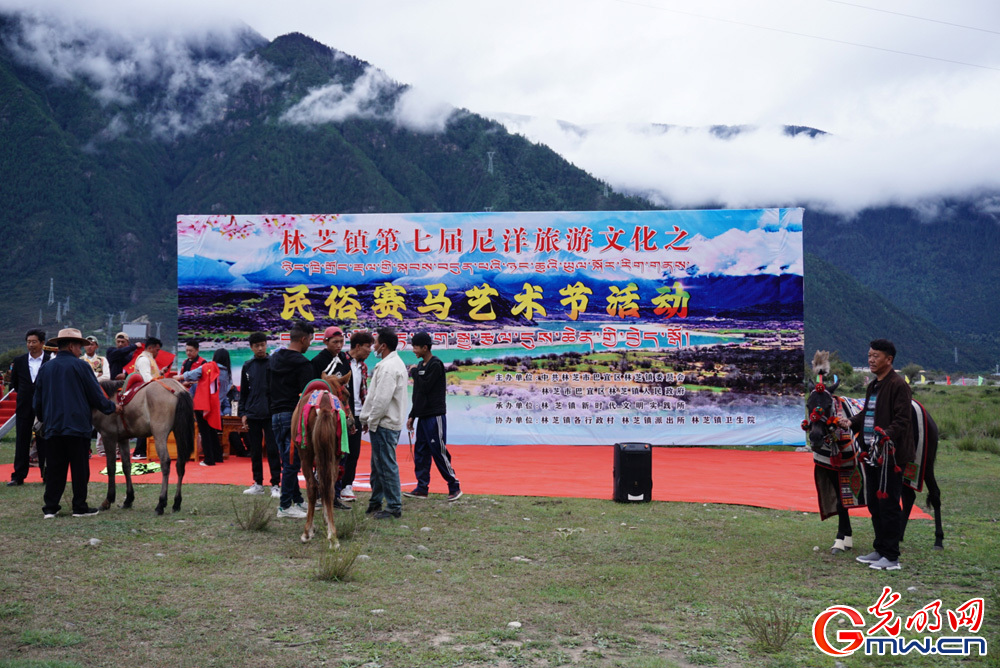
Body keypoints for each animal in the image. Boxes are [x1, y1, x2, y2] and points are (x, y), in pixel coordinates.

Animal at [93, 378, 196, 516]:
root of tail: (177, 389)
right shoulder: (123, 439)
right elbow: (126, 466)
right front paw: (128, 499)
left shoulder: (108, 436)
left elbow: (111, 467)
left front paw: (108, 500)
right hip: (179, 432)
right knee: (180, 464)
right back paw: (176, 503)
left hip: (159, 434)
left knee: (165, 463)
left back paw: (161, 503)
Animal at [290, 380, 352, 548]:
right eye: (346, 395)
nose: (352, 422)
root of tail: (323, 407)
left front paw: (312, 529)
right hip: (333, 457)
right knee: (329, 487)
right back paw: (333, 537)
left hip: (305, 456)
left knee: (312, 486)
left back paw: (306, 533)